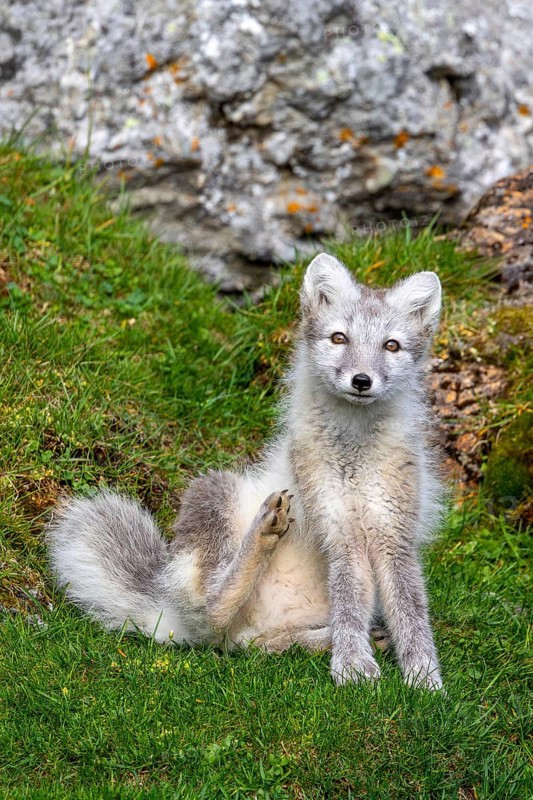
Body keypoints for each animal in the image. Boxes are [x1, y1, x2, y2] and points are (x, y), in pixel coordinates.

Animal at [47, 253, 444, 689]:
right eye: (340, 338)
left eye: (392, 345)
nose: (361, 380)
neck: (354, 454)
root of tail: (167, 608)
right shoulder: (337, 526)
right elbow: (349, 599)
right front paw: (355, 666)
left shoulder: (394, 530)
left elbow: (410, 609)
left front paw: (424, 677)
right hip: (214, 489)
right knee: (212, 617)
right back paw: (266, 531)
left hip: (268, 629)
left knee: (255, 646)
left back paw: (327, 640)